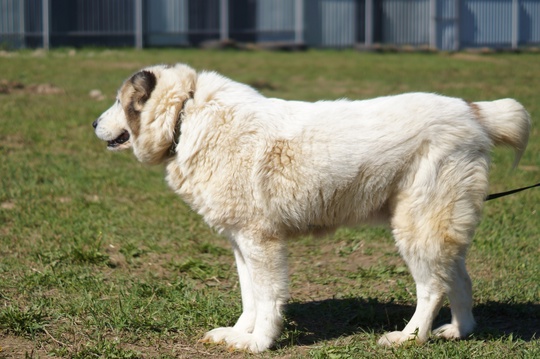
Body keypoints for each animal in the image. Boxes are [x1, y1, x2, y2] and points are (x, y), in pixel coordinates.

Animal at [93, 63, 532, 352]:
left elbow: (267, 297)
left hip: (416, 226)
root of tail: (473, 111)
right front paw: (239, 334)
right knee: (460, 279)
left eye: (119, 101)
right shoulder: (242, 242)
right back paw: (458, 331)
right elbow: (250, 295)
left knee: (433, 287)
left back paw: (408, 338)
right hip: (439, 225)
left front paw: (259, 342)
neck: (185, 114)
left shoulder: (262, 242)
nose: (94, 124)